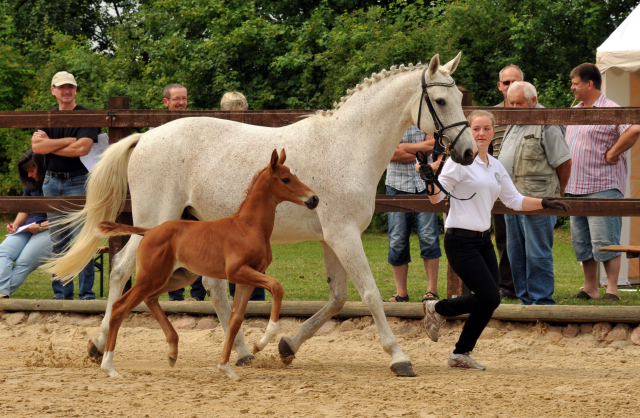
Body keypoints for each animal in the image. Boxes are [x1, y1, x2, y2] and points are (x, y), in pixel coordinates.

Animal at [97, 150, 318, 382]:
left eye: (293, 175)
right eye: (285, 179)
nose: (314, 198)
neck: (248, 227)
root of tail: (148, 231)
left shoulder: (247, 279)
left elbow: (235, 319)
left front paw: (226, 368)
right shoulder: (237, 272)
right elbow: (276, 286)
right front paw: (262, 341)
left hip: (176, 278)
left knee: (150, 299)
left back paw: (172, 351)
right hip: (151, 277)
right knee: (120, 306)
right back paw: (109, 367)